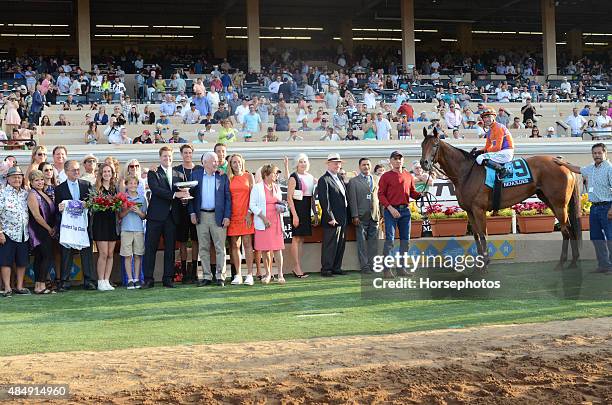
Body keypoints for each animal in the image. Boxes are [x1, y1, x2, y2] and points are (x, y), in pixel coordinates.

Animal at [418, 128, 580, 270]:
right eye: (422, 145)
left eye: (435, 144)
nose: (424, 163)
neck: (466, 173)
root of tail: (562, 162)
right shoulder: (469, 211)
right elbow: (476, 235)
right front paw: (478, 265)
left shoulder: (479, 209)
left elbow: (483, 234)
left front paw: (485, 263)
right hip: (550, 201)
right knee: (570, 230)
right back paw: (573, 262)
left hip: (559, 204)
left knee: (566, 231)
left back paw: (561, 264)